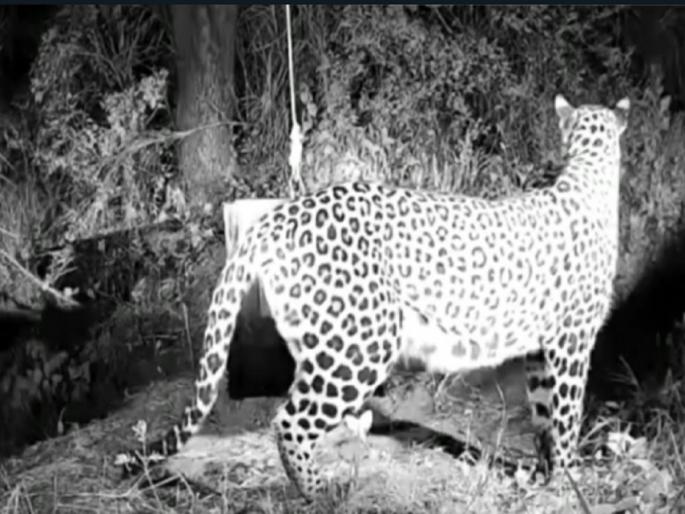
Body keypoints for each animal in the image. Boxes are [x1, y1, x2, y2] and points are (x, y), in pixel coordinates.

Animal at [115, 94, 630, 500]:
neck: (588, 173)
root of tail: (279, 214)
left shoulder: (542, 349)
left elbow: (544, 415)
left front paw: (545, 475)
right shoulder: (571, 341)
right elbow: (567, 413)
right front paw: (571, 479)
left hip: (320, 341)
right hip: (362, 343)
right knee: (289, 420)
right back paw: (323, 492)